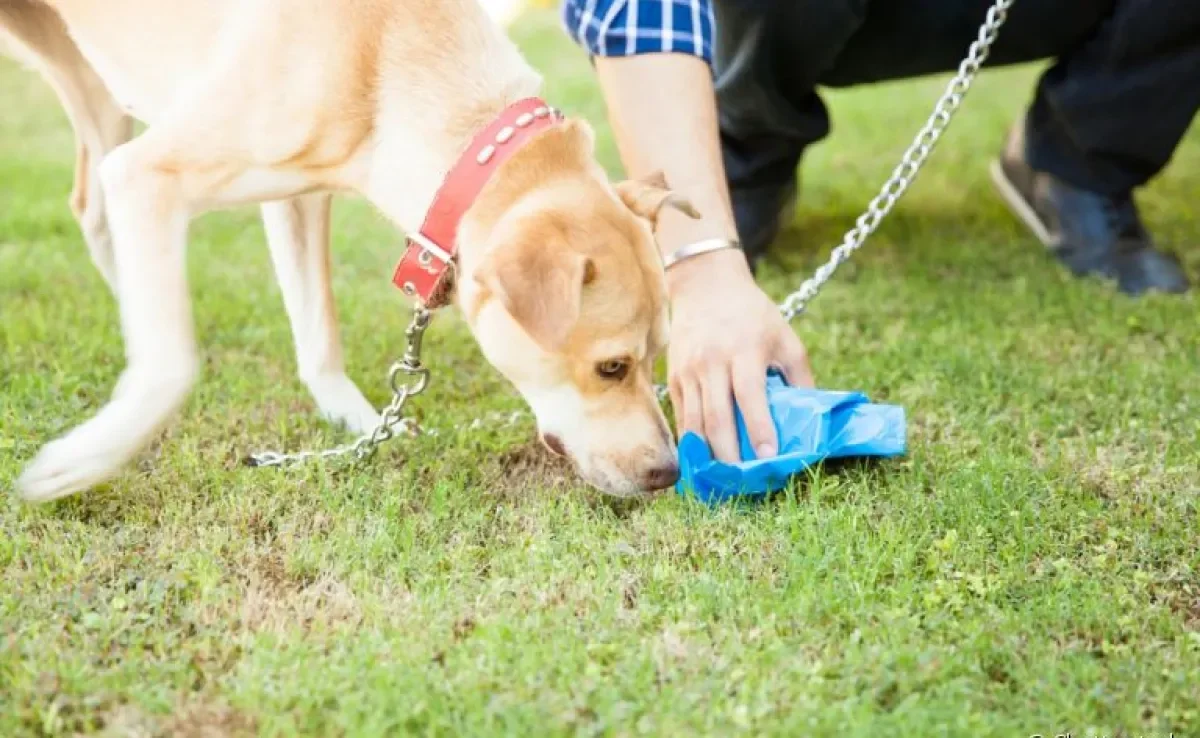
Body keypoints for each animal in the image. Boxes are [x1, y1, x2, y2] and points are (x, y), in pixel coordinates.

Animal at [0, 0, 696, 501]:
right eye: (611, 367)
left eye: (659, 353)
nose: (667, 472)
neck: (386, 50)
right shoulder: (151, 175)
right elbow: (172, 365)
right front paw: (85, 459)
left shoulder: (298, 195)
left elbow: (319, 331)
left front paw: (359, 426)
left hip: (89, 75)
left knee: (92, 205)